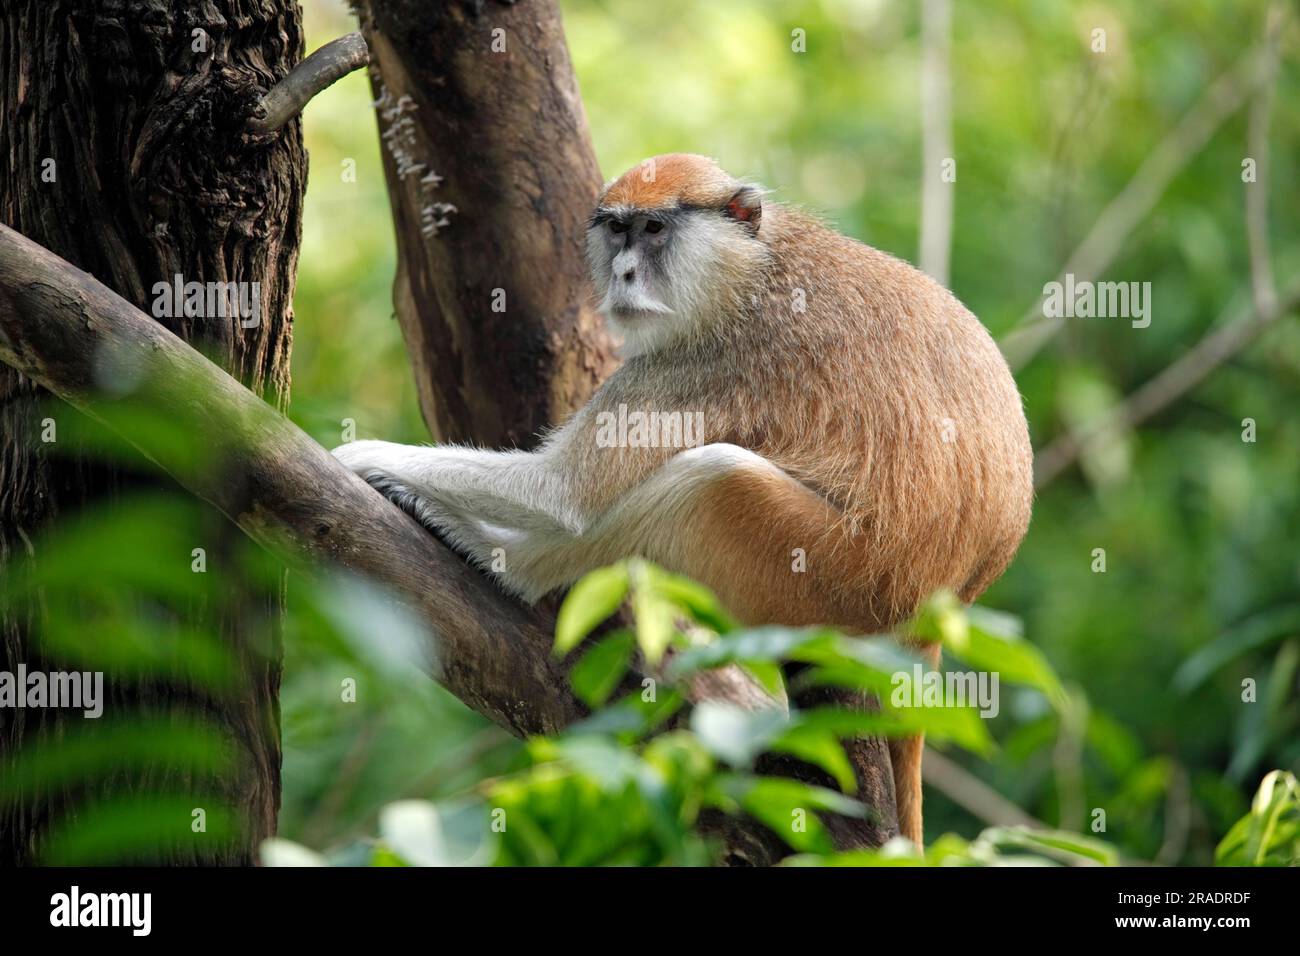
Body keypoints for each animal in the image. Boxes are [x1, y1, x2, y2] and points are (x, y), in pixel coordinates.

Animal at [332, 153, 1034, 846]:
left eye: (654, 230)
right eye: (618, 230)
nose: (623, 272)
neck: (749, 265)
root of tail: (940, 610)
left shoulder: (699, 365)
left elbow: (564, 494)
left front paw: (364, 457)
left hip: (839, 580)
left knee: (713, 476)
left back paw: (511, 560)